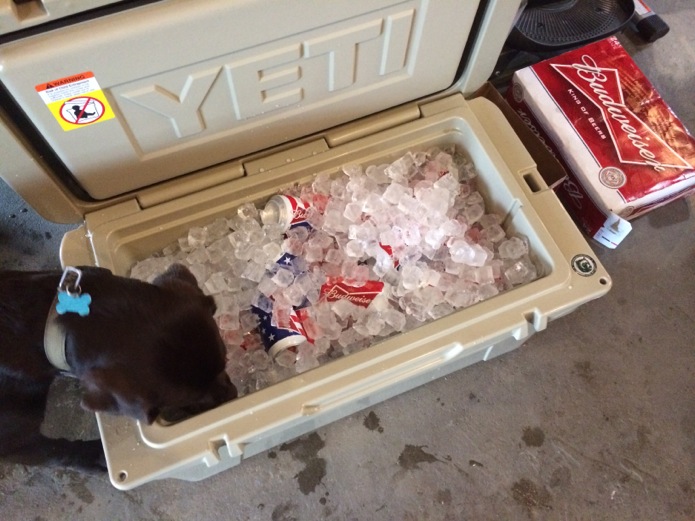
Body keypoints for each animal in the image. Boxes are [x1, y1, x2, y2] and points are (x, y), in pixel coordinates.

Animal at [0, 262, 237, 470]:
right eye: (189, 399)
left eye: (226, 361)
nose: (233, 395)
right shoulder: (13, 441)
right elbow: (57, 451)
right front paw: (99, 458)